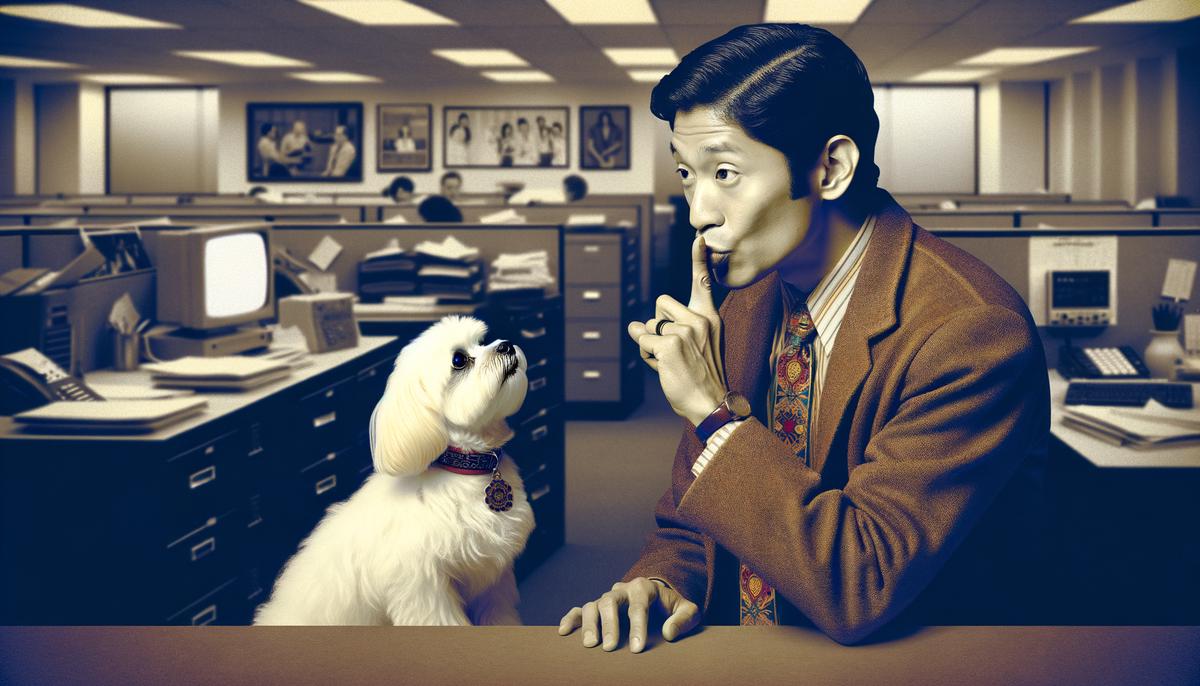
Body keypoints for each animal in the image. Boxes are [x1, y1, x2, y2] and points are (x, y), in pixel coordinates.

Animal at [255, 316, 537, 628]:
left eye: (482, 340)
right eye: (459, 360)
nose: (506, 345)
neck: (463, 470)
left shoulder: (492, 581)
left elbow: (499, 615)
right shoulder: (423, 587)